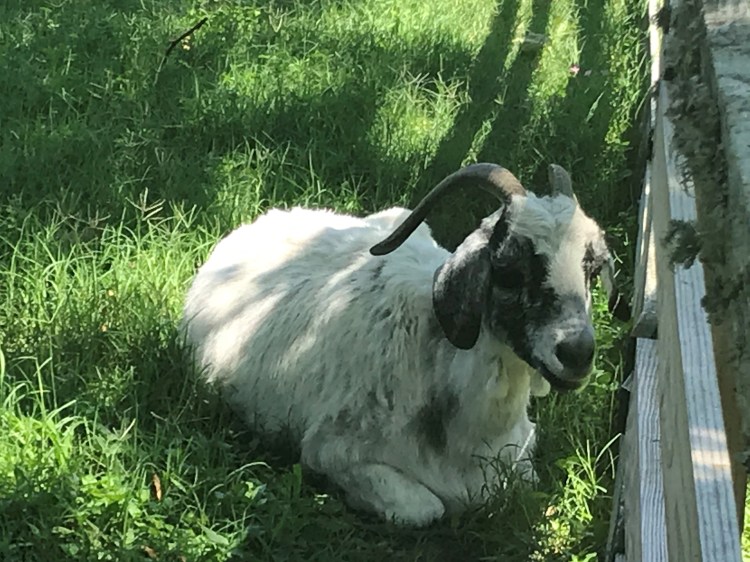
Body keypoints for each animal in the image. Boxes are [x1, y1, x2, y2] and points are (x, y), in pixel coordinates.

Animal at [181, 163, 614, 526]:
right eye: (508, 270)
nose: (577, 353)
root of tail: (264, 221)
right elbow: (426, 509)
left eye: (592, 270)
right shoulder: (332, 453)